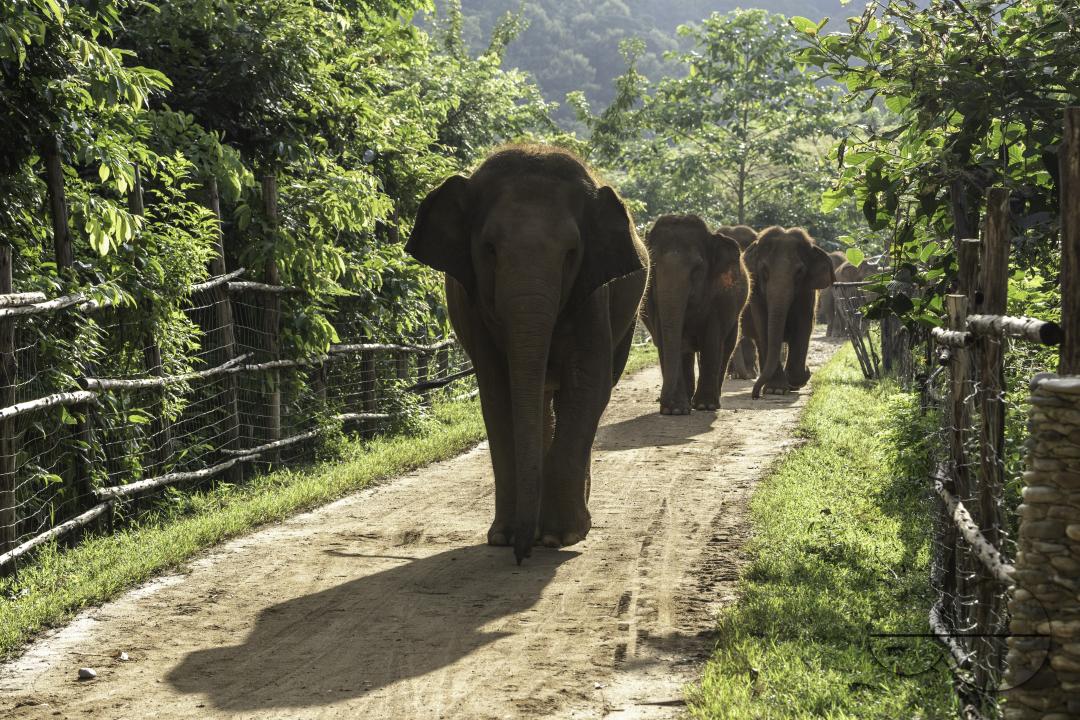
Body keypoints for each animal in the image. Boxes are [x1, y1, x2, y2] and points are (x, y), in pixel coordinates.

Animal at [405, 145, 648, 564]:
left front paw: (560, 537)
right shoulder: (473, 306)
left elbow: (589, 383)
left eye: (571, 253)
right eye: (489, 249)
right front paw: (504, 536)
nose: (522, 556)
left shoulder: (592, 295)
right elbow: (498, 390)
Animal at [640, 215, 749, 415]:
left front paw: (705, 406)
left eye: (697, 268)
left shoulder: (718, 296)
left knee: (727, 345)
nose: (661, 402)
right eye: (653, 266)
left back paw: (710, 401)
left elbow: (712, 340)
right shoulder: (652, 301)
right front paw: (675, 410)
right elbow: (668, 338)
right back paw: (688, 400)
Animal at [743, 226, 835, 399]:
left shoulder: (807, 293)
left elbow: (803, 326)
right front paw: (776, 390)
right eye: (764, 270)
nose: (755, 395)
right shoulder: (756, 295)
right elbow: (764, 327)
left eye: (799, 271)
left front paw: (800, 379)